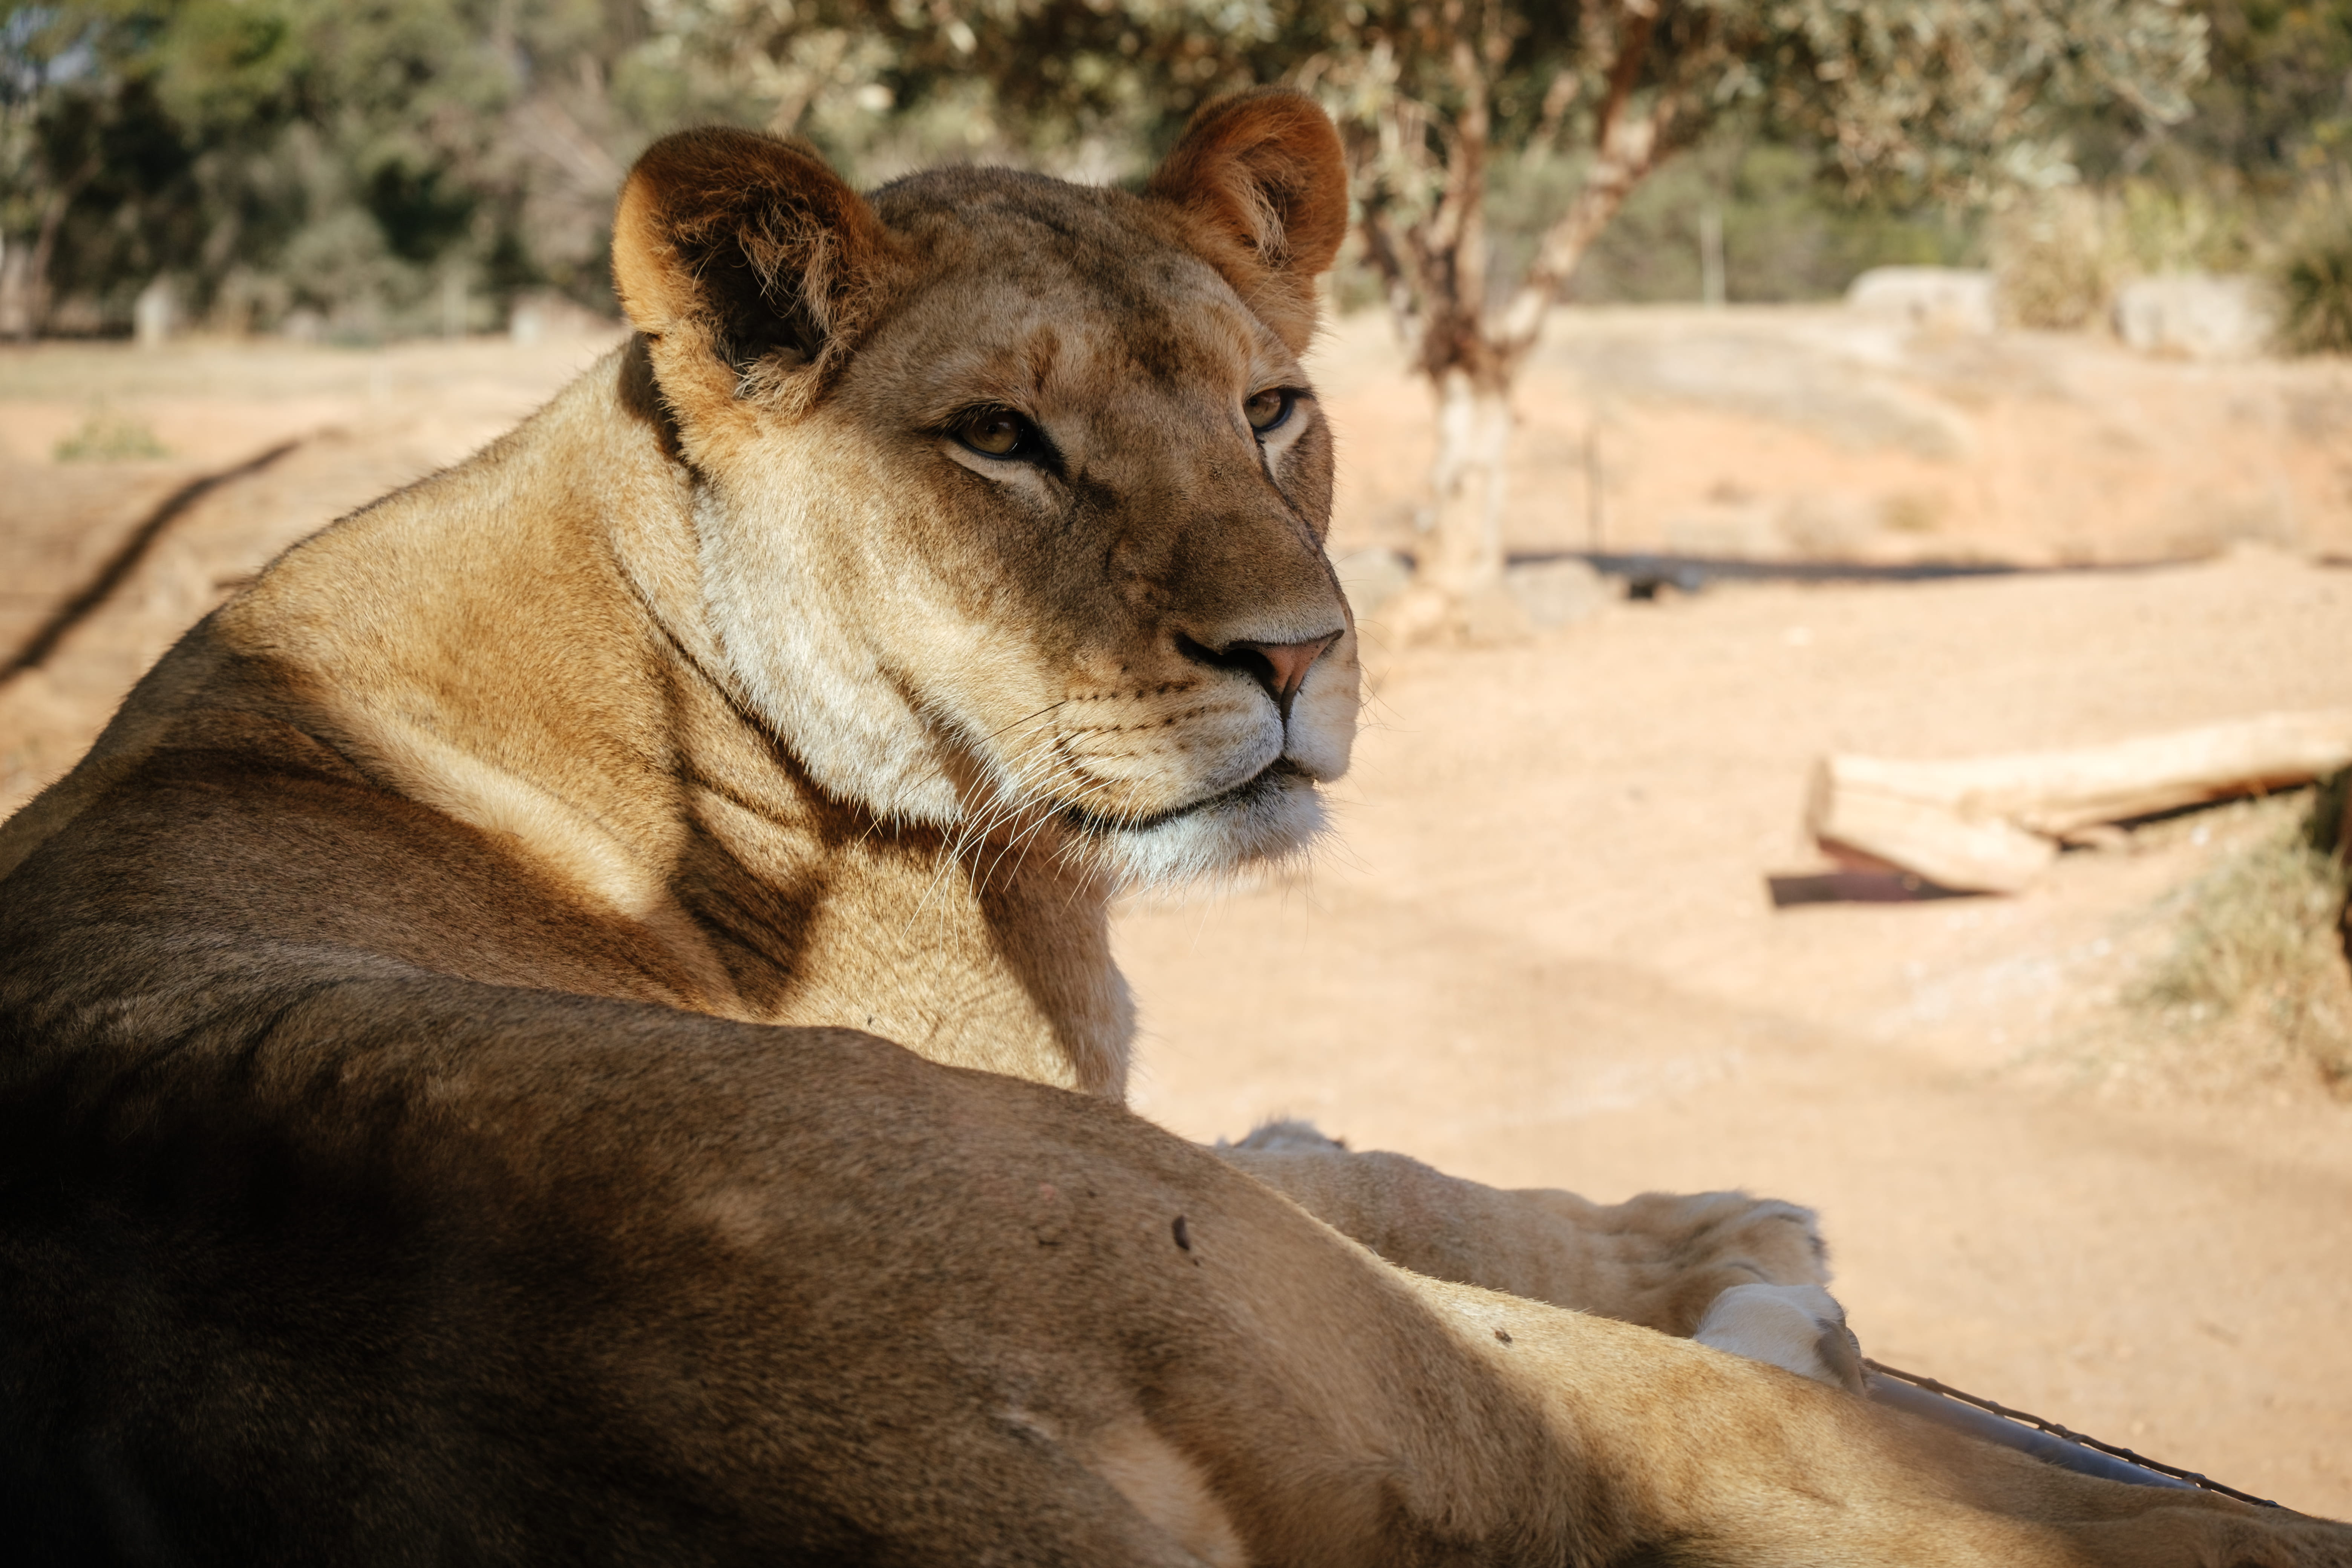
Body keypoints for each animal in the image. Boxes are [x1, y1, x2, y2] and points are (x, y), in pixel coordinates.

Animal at [1, 88, 2344, 1564]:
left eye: (1272, 406)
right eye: (1001, 439)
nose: (1304, 653)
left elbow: (1343, 1142)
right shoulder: (1123, 1130)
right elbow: (1381, 1172)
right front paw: (1727, 1233)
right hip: (1234, 1277)